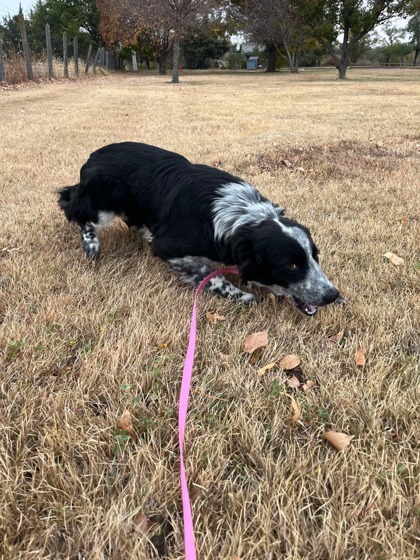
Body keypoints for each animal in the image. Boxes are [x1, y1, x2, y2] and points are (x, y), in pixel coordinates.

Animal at [58, 141, 342, 316]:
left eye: (315, 256)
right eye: (290, 265)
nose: (331, 294)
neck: (238, 220)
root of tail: (93, 155)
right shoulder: (168, 248)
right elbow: (210, 275)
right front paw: (240, 295)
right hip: (106, 200)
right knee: (73, 208)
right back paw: (91, 245)